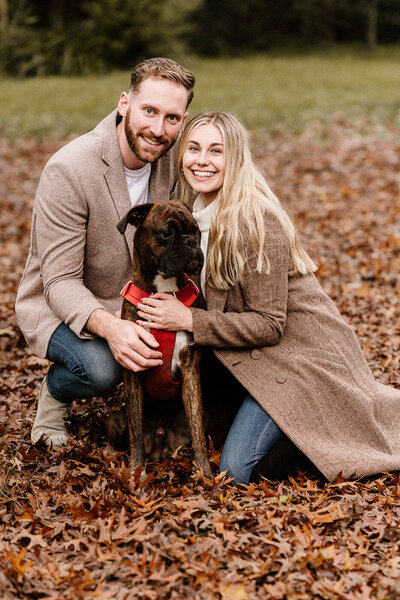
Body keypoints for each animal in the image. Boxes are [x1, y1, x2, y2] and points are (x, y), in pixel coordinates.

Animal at [106, 202, 212, 478]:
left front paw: (206, 472)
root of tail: (161, 443)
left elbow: (198, 432)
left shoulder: (189, 369)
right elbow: (135, 430)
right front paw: (136, 470)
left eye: (194, 230)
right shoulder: (133, 368)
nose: (190, 242)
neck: (163, 292)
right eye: (166, 232)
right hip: (115, 420)